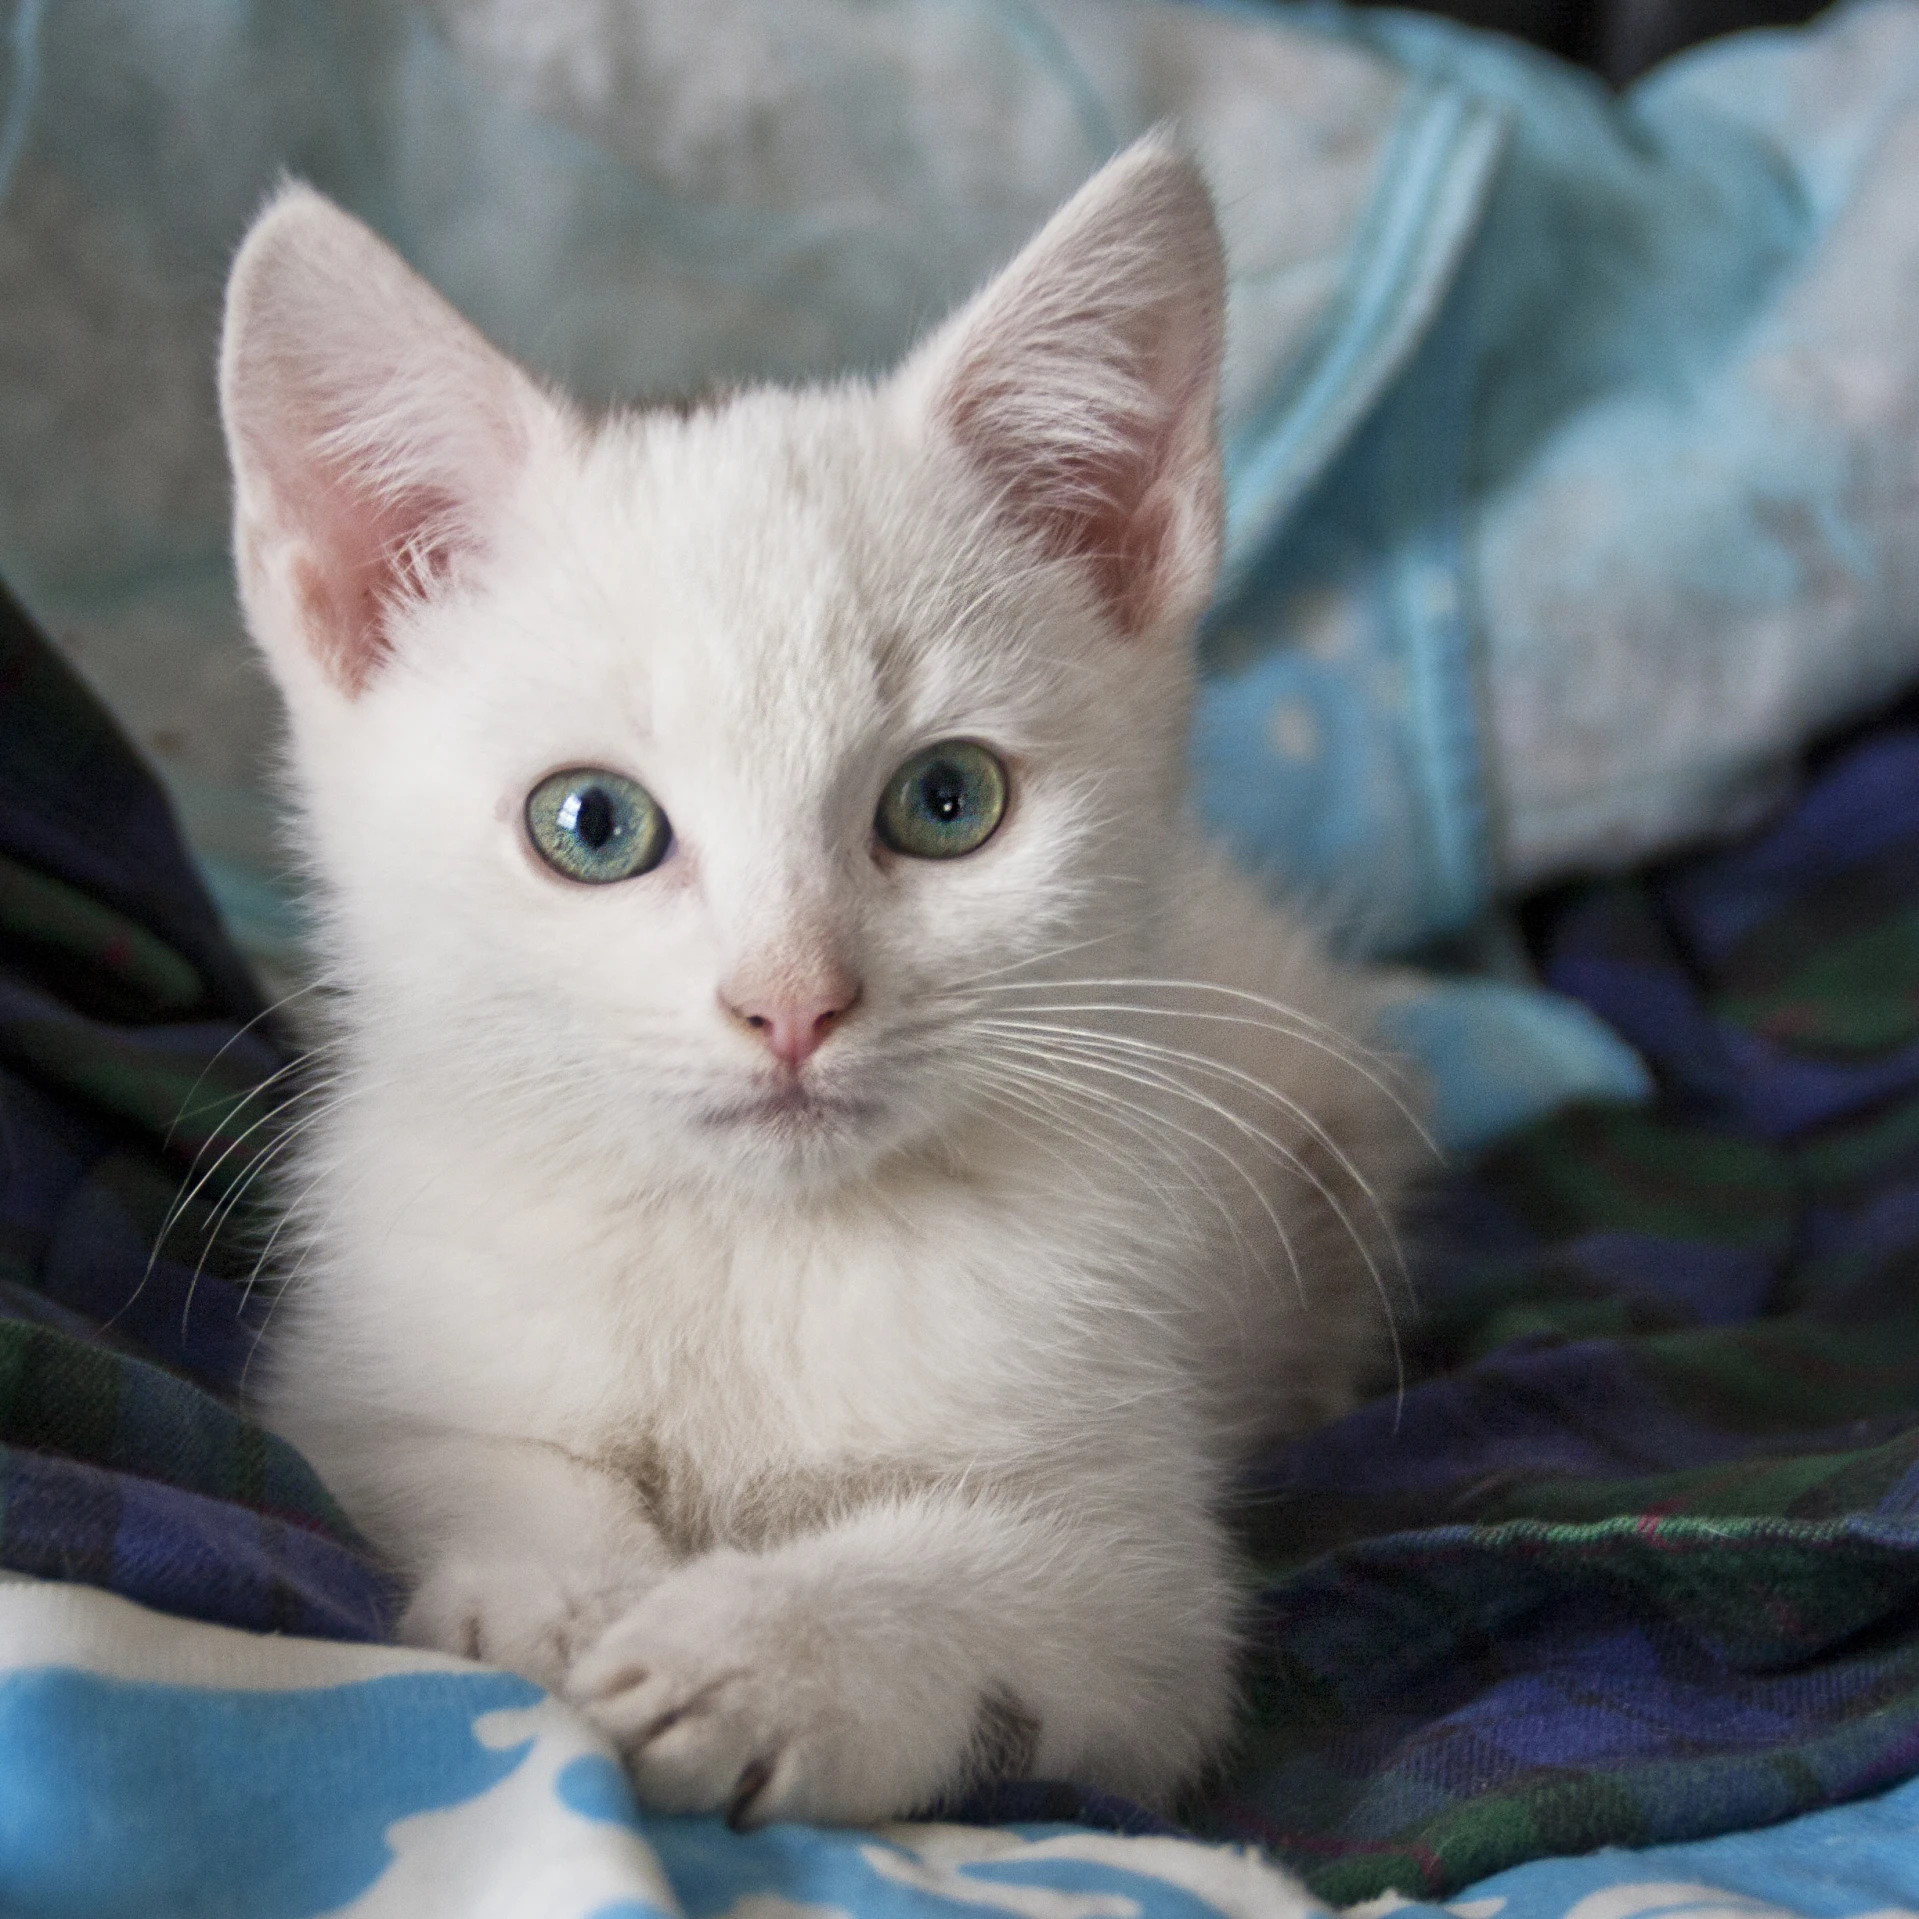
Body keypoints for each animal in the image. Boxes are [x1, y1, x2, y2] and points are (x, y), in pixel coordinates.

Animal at [220, 139, 1427, 1826]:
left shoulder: (1144, 1575)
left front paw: (751, 1656)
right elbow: (443, 1451)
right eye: (590, 824)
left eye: (946, 801)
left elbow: (1029, 1591)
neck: (748, 1247)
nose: (789, 1003)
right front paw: (556, 1596)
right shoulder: (358, 1362)